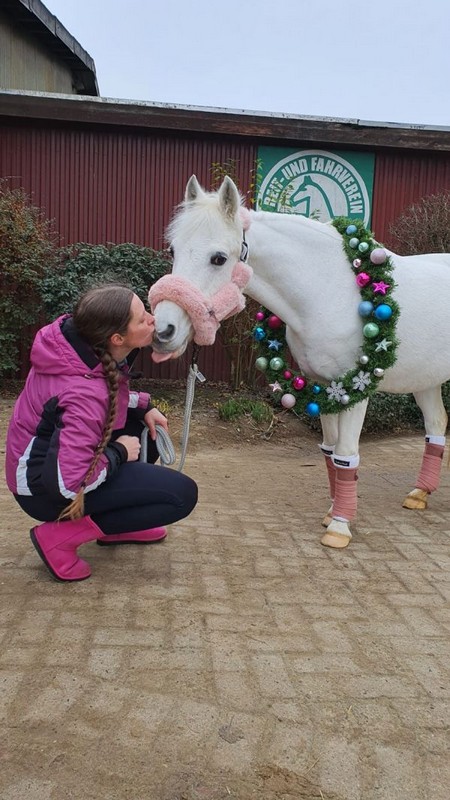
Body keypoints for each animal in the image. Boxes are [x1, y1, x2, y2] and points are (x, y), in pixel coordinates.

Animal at [149, 175, 450, 549]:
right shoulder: (325, 388)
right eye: (173, 250)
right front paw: (332, 514)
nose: (163, 330)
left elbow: (346, 453)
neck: (329, 289)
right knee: (436, 425)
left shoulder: (356, 389)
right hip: (427, 379)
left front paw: (339, 527)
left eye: (218, 258)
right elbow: (330, 453)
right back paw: (419, 494)